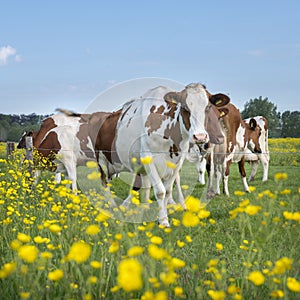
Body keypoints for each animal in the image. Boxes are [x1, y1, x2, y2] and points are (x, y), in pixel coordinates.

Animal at [101, 82, 230, 225]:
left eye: (207, 107)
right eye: (184, 107)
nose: (200, 137)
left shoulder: (178, 161)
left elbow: (168, 190)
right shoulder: (148, 157)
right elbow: (160, 191)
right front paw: (163, 221)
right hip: (102, 160)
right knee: (105, 184)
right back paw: (111, 206)